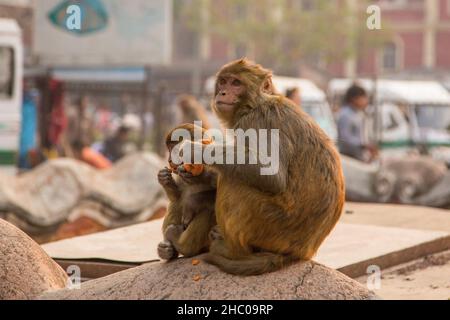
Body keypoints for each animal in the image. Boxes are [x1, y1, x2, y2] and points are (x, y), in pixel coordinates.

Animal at [157, 122, 217, 260]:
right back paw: (168, 250)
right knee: (177, 202)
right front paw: (165, 179)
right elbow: (177, 197)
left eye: (172, 149)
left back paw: (182, 245)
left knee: (208, 209)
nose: (169, 160)